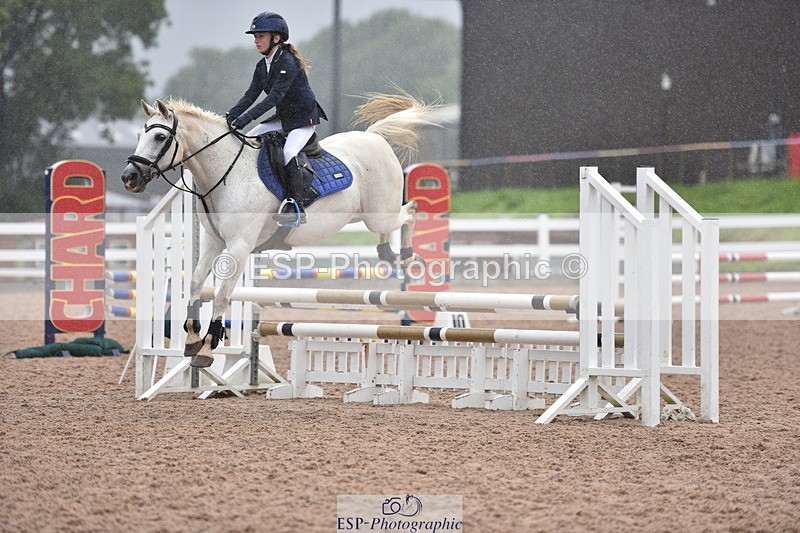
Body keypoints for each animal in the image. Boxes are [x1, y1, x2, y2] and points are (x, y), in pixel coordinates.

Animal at [121, 93, 438, 368]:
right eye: (140, 136)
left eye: (160, 137)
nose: (129, 177)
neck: (224, 174)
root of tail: (374, 137)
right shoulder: (213, 241)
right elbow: (196, 284)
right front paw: (190, 340)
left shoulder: (239, 245)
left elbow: (222, 295)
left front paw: (208, 349)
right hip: (362, 216)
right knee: (394, 225)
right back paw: (390, 254)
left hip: (378, 215)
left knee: (410, 211)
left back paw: (408, 256)